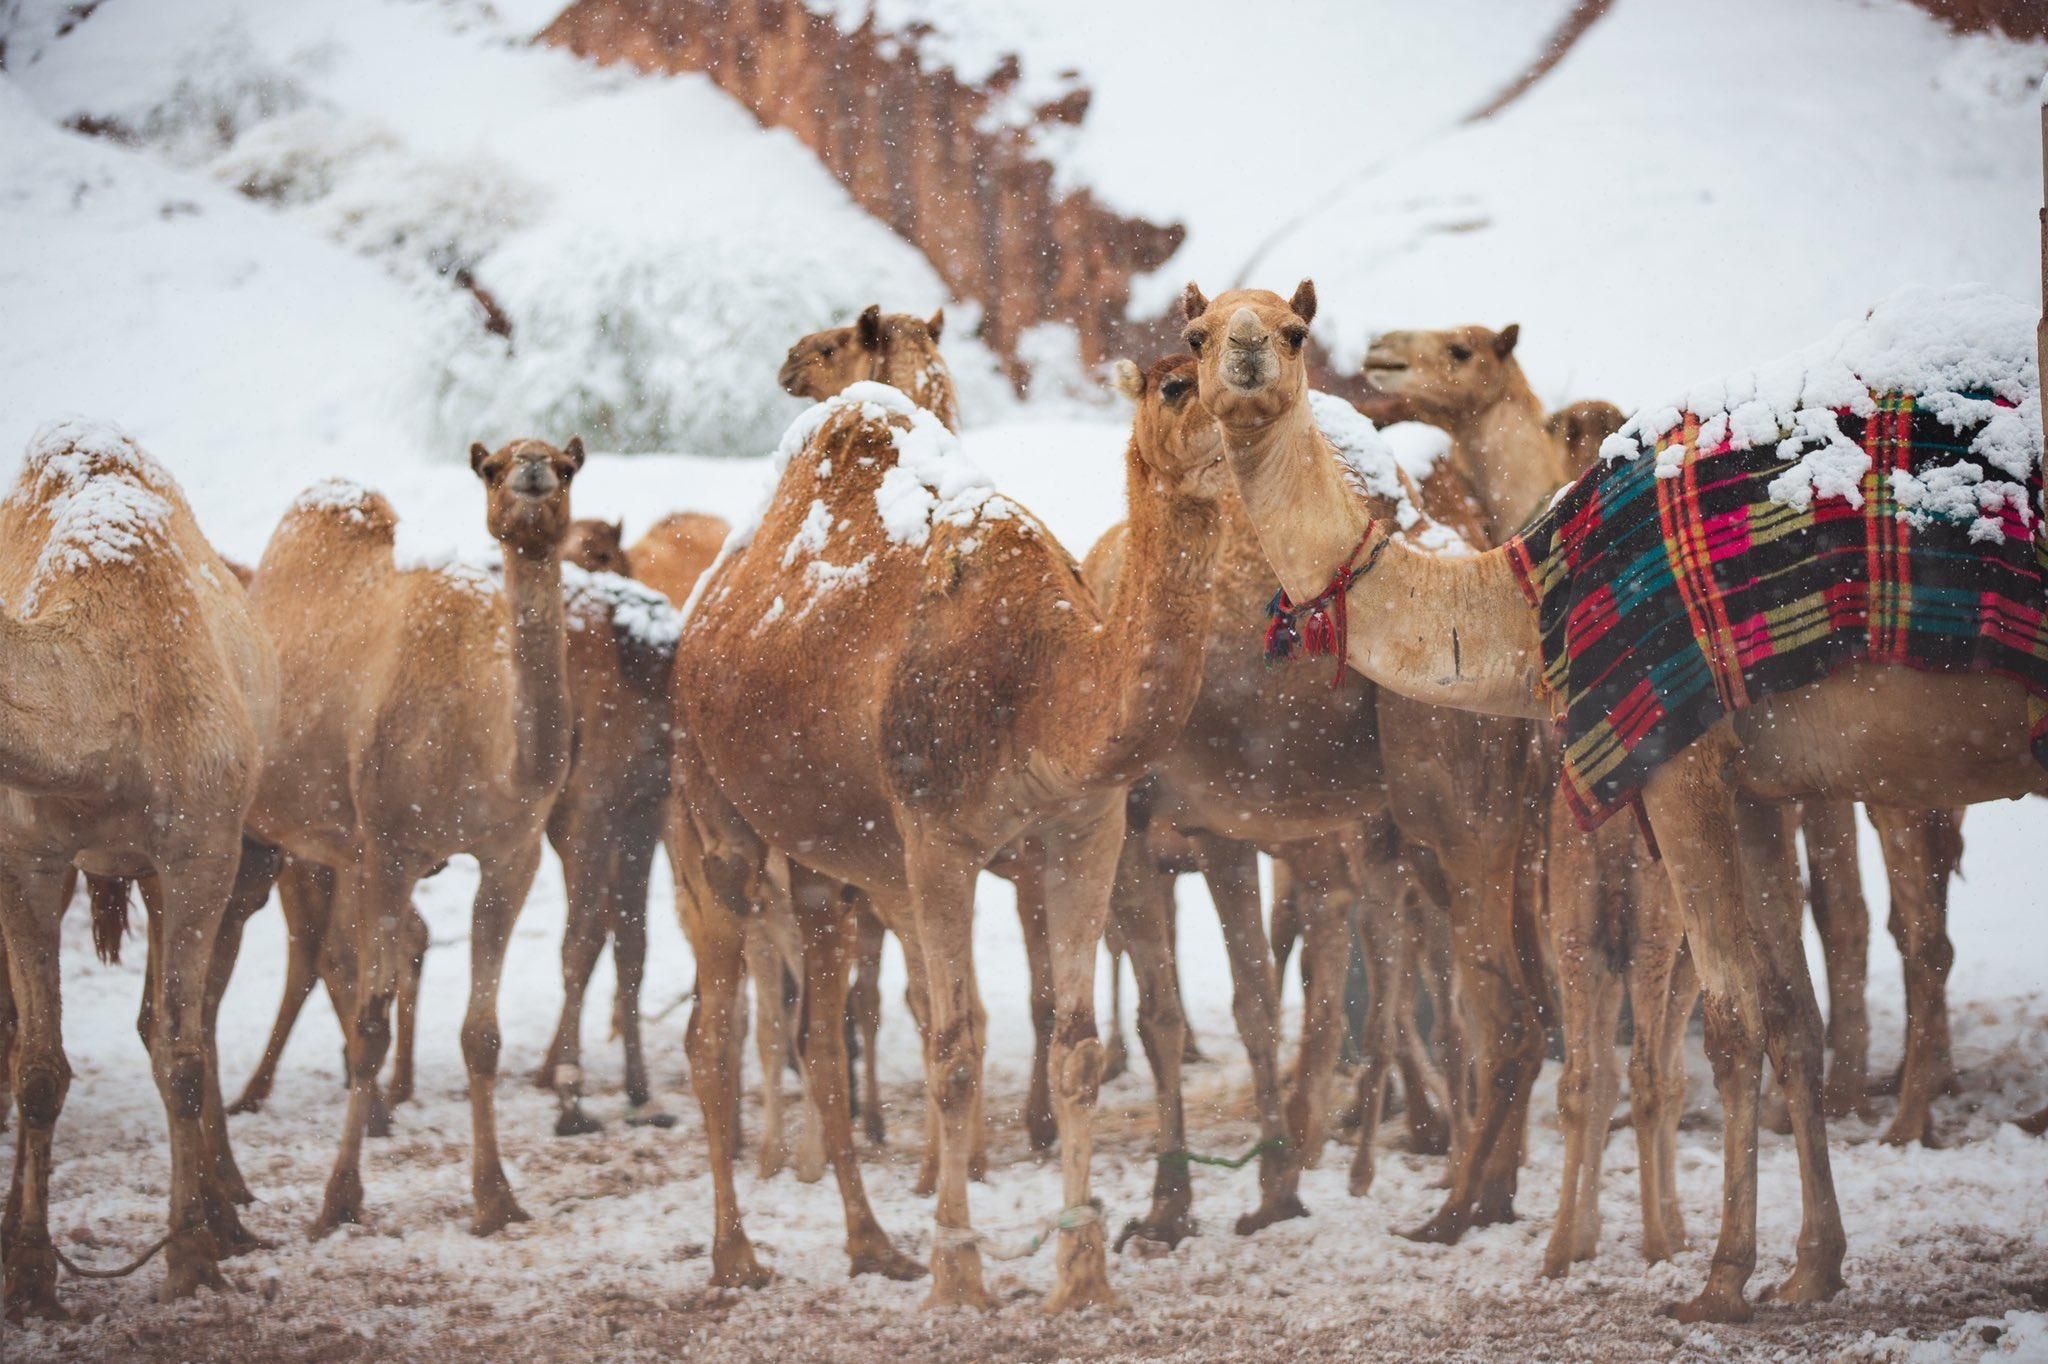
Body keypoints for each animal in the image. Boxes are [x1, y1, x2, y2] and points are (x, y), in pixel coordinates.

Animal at [0, 419, 274, 1310]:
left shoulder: (199, 853)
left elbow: (180, 1057)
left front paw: (190, 1259)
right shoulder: (25, 858)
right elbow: (37, 1068)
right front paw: (29, 1271)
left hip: (165, 871)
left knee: (165, 1028)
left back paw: (220, 1221)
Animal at [234, 436, 585, 1228]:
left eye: (568, 464)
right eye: (491, 469)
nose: (531, 471)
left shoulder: (511, 855)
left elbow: (481, 1035)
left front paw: (495, 1197)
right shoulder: (393, 848)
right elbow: (371, 1026)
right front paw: (339, 1198)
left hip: (332, 848)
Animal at [671, 352, 1220, 1310]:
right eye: (1177, 380)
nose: (1241, 404)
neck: (1040, 684)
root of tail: (702, 614)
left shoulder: (1085, 833)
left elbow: (1076, 1051)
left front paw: (1082, 1275)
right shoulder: (937, 840)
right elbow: (956, 1053)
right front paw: (959, 1273)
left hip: (824, 862)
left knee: (820, 1038)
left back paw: (870, 1244)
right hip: (713, 809)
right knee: (713, 1034)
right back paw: (735, 1257)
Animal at [1187, 278, 2048, 1318]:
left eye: (1292, 331)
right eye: (1195, 333)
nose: (1243, 358)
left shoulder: (1682, 759)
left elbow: (1728, 1022)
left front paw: (1720, 1278)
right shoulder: (1758, 785)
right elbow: (1785, 1015)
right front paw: (1811, 1267)